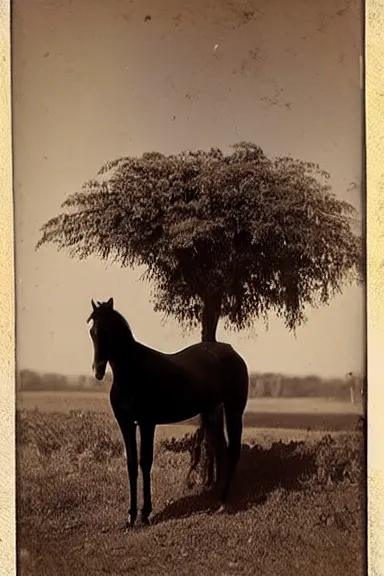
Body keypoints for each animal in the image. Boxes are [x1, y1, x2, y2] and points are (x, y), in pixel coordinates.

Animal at [86, 300, 249, 528]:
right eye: (92, 331)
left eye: (108, 330)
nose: (98, 371)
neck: (132, 374)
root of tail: (232, 352)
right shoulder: (125, 423)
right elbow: (131, 464)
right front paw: (130, 516)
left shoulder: (147, 423)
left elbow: (145, 462)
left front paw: (145, 514)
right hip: (212, 412)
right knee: (221, 449)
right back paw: (217, 495)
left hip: (234, 407)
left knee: (233, 450)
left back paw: (223, 502)